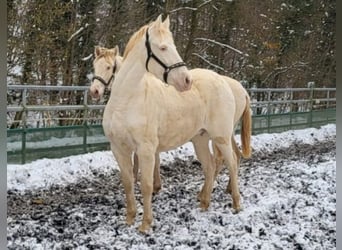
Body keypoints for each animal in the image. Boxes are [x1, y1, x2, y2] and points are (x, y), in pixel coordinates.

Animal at [91, 15, 251, 233]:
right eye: (163, 47)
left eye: (109, 67)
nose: (186, 80)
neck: (127, 100)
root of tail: (227, 83)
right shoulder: (119, 148)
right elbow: (128, 182)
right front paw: (130, 218)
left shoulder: (146, 149)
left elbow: (146, 185)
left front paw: (145, 224)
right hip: (200, 139)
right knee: (210, 166)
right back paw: (204, 202)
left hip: (222, 137)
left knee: (232, 163)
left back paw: (236, 203)